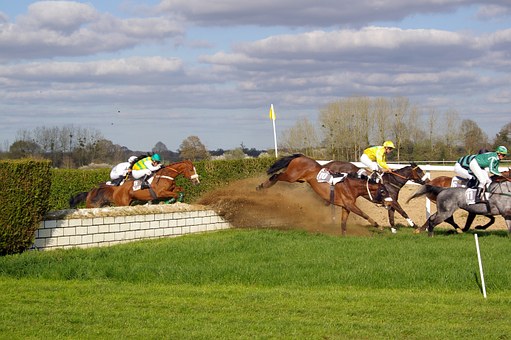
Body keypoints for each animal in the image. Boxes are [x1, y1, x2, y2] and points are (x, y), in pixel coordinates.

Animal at [70, 161, 200, 209]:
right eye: (191, 170)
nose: (197, 182)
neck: (165, 175)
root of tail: (116, 190)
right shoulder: (160, 192)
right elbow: (175, 195)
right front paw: (167, 202)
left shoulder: (172, 188)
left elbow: (180, 190)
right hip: (122, 203)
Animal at [258, 155, 394, 236]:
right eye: (383, 191)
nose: (390, 202)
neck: (351, 185)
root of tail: (301, 156)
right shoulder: (350, 204)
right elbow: (364, 214)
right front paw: (378, 226)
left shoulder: (345, 207)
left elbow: (343, 223)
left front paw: (344, 236)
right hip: (291, 176)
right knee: (276, 176)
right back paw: (262, 186)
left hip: (298, 179)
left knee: (277, 176)